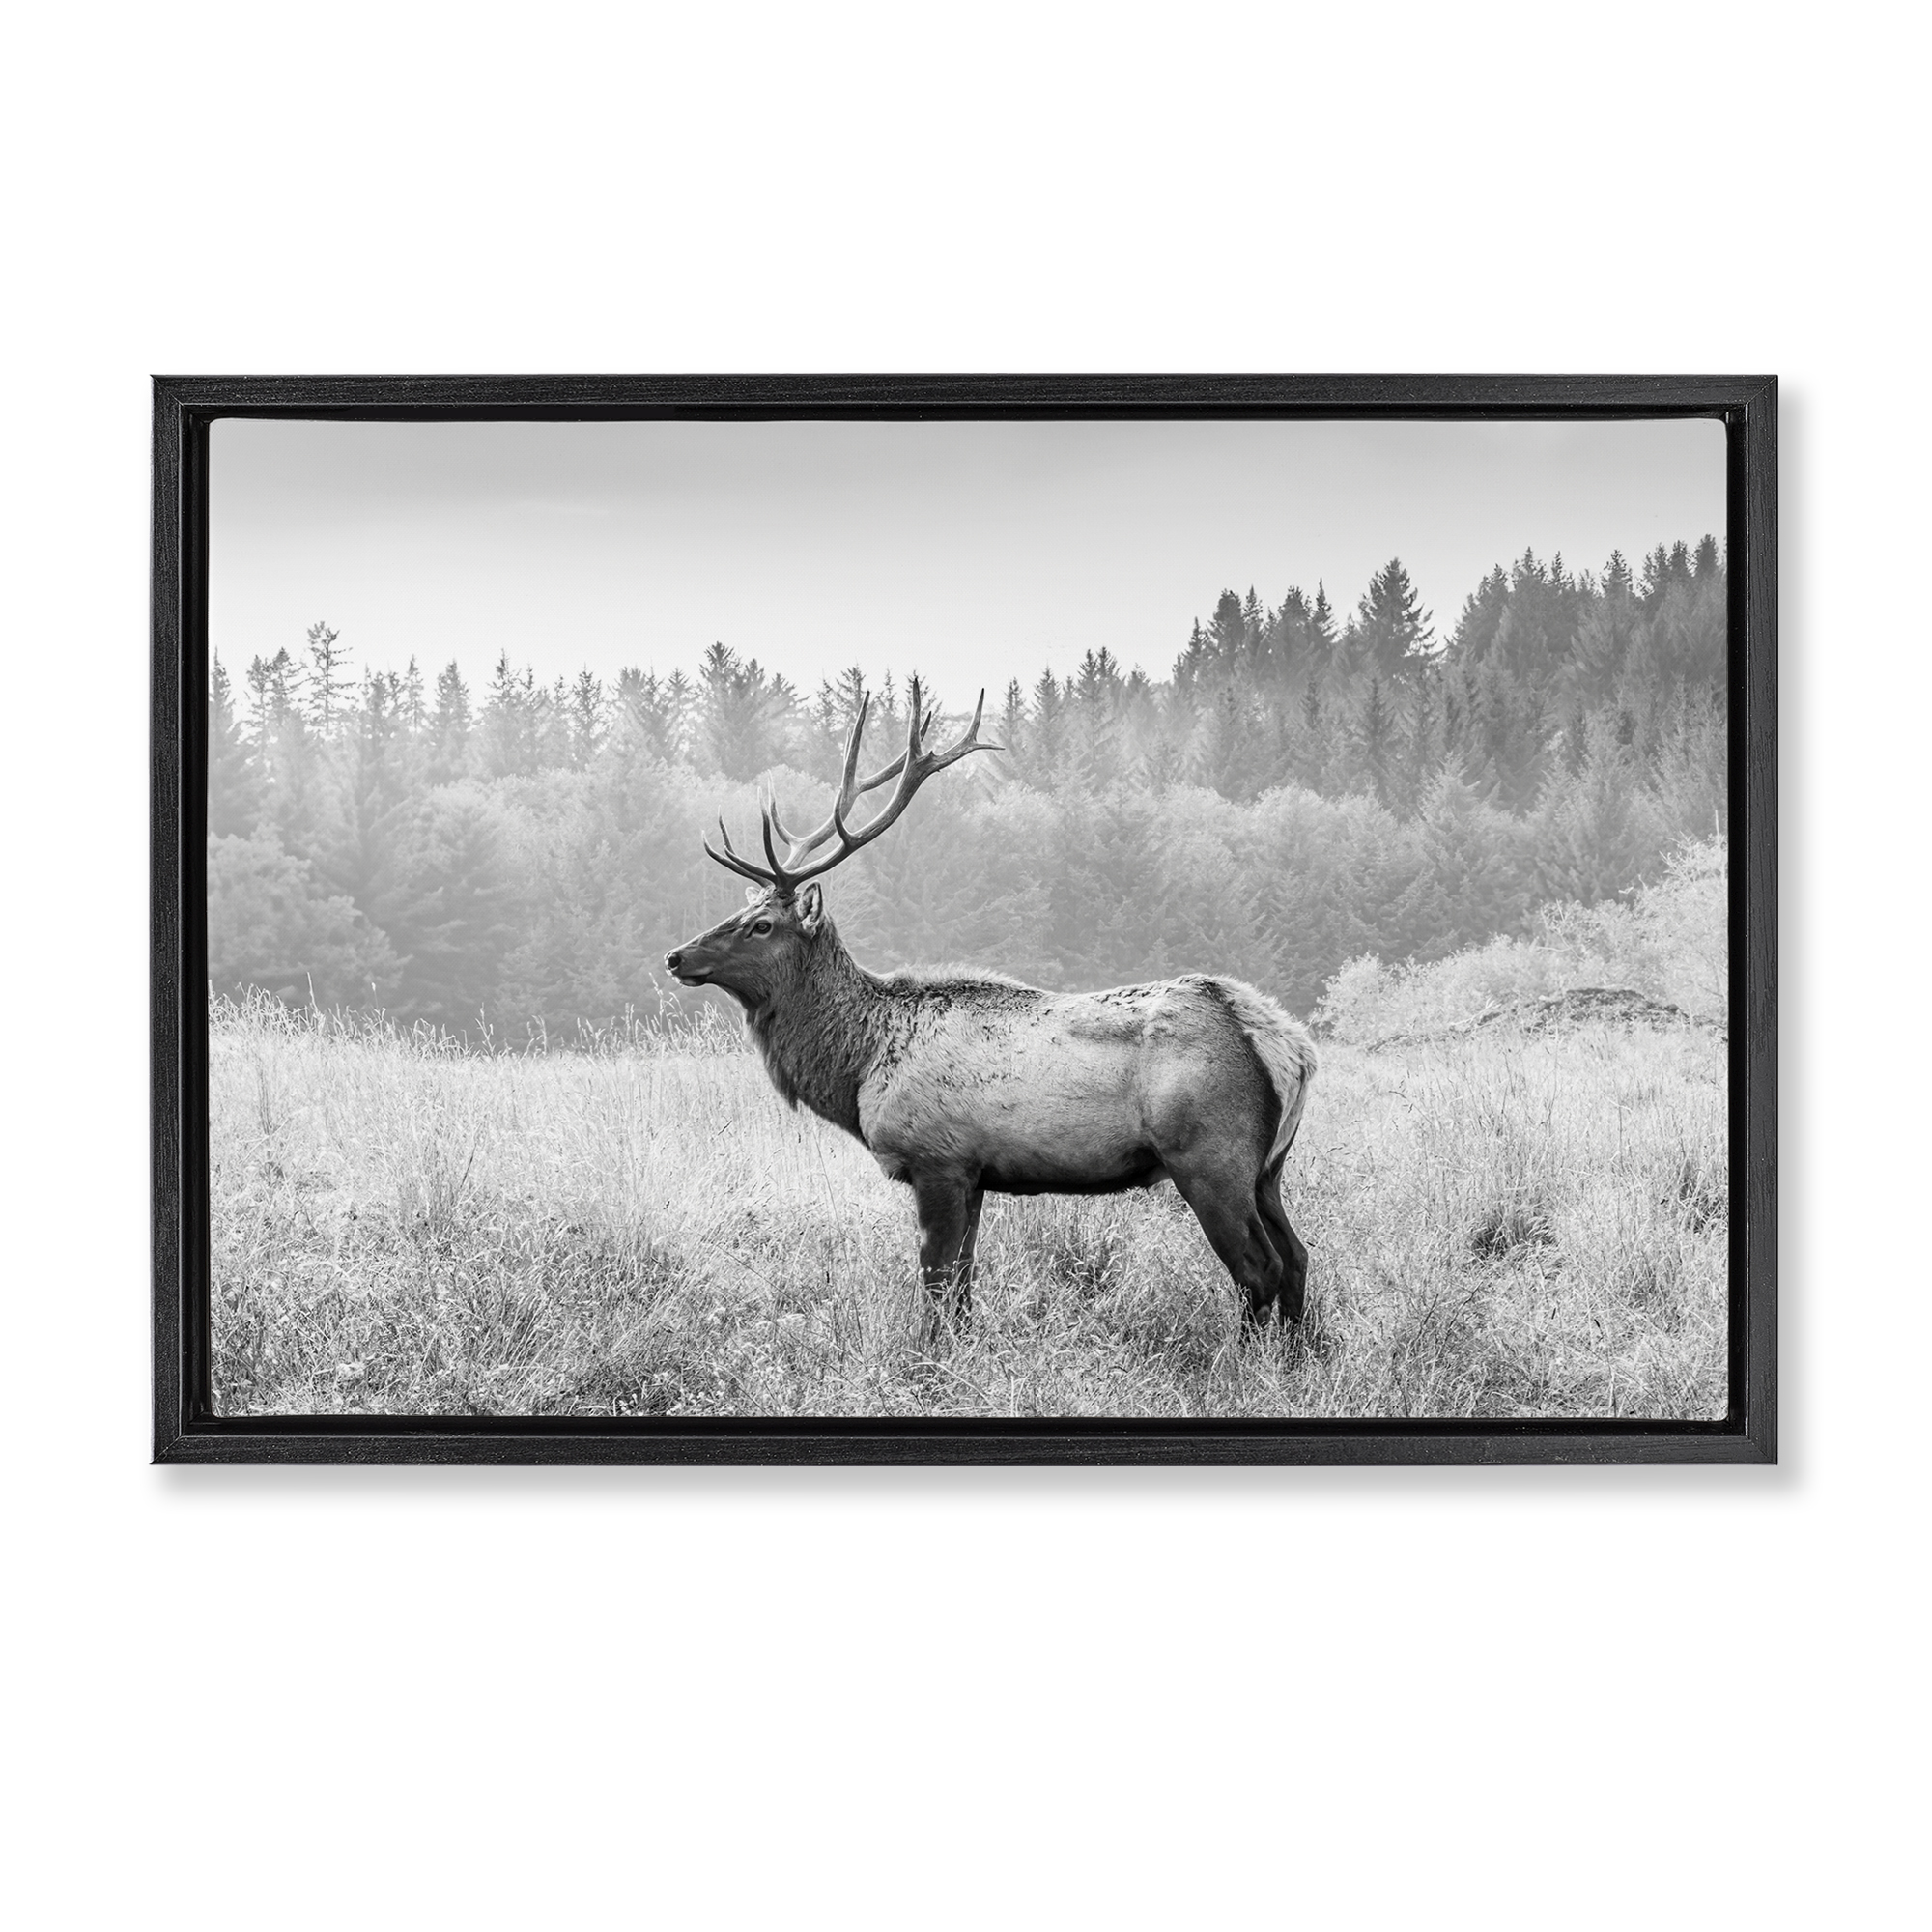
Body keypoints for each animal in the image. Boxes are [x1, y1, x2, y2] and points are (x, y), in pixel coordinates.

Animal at [664, 678, 1317, 1332]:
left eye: (762, 925)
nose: (676, 956)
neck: (861, 1066)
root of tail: (1288, 1046)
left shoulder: (937, 1160)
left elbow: (936, 1284)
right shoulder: (975, 1173)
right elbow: (962, 1285)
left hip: (1209, 1155)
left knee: (1259, 1268)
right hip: (1267, 1169)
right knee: (1299, 1256)